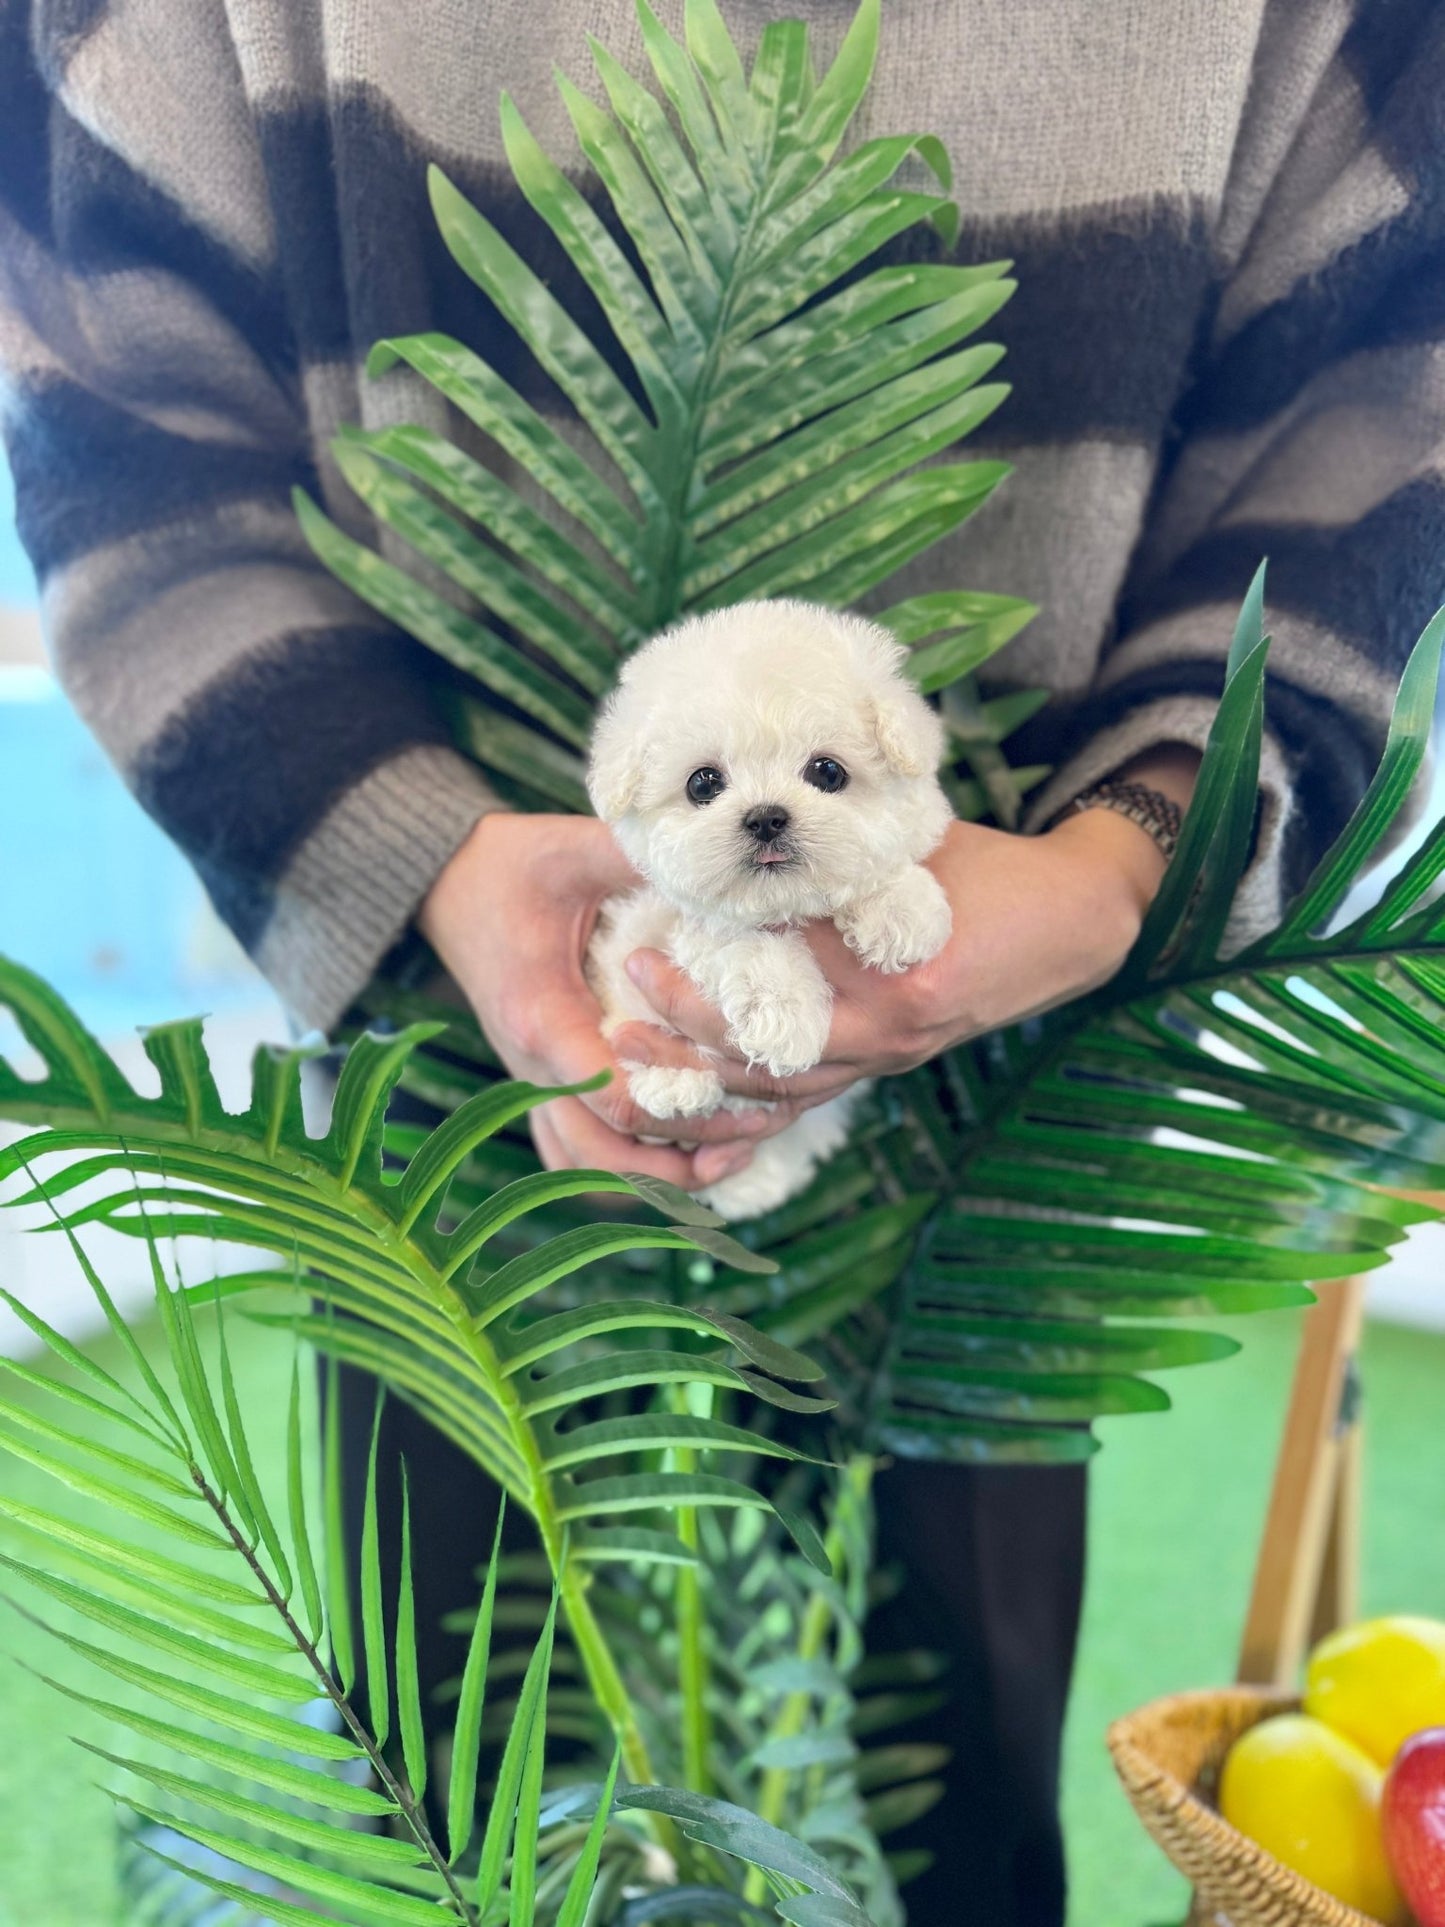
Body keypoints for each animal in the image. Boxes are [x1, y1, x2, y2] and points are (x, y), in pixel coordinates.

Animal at [581, 593, 955, 1210]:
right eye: (703, 784)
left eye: (827, 771)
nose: (765, 817)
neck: (785, 906)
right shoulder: (672, 922)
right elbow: (738, 941)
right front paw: (785, 1017)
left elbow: (883, 869)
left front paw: (900, 910)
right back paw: (675, 1083)